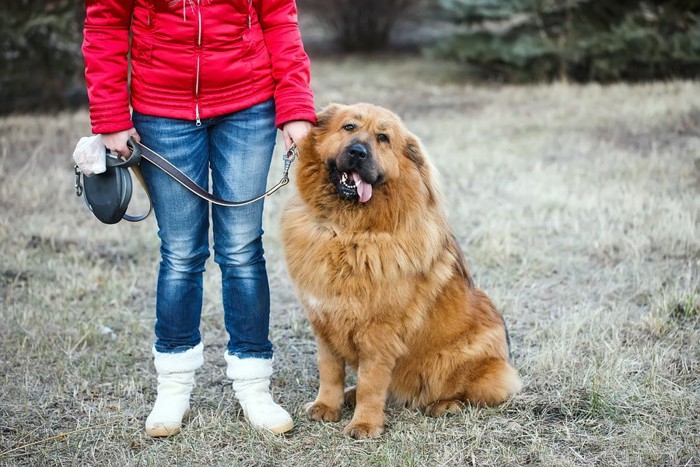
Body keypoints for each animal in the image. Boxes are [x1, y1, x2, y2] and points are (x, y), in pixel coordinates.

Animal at [282, 102, 524, 438]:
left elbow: (372, 383)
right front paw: (327, 406)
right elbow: (329, 371)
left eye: (383, 138)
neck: (348, 232)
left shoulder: (379, 333)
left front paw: (365, 424)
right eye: (349, 127)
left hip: (453, 359)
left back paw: (444, 405)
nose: (358, 152)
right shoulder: (324, 324)